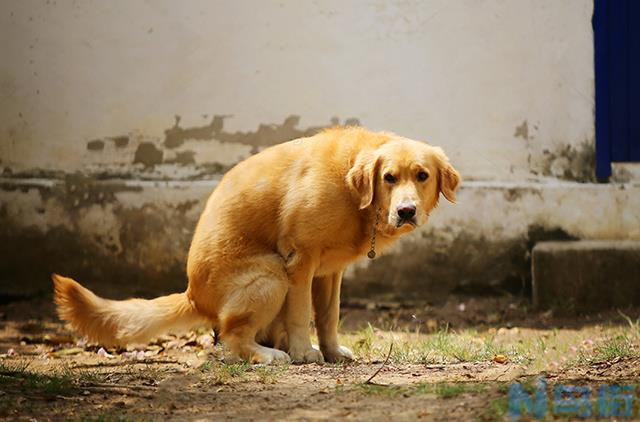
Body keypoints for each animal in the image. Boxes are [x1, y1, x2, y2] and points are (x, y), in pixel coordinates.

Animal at [52, 127, 458, 364]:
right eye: (389, 177)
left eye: (422, 176)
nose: (406, 211)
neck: (354, 193)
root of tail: (192, 294)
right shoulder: (300, 262)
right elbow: (301, 316)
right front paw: (304, 353)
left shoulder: (330, 272)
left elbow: (328, 317)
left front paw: (331, 352)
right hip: (270, 275)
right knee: (232, 339)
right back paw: (271, 355)